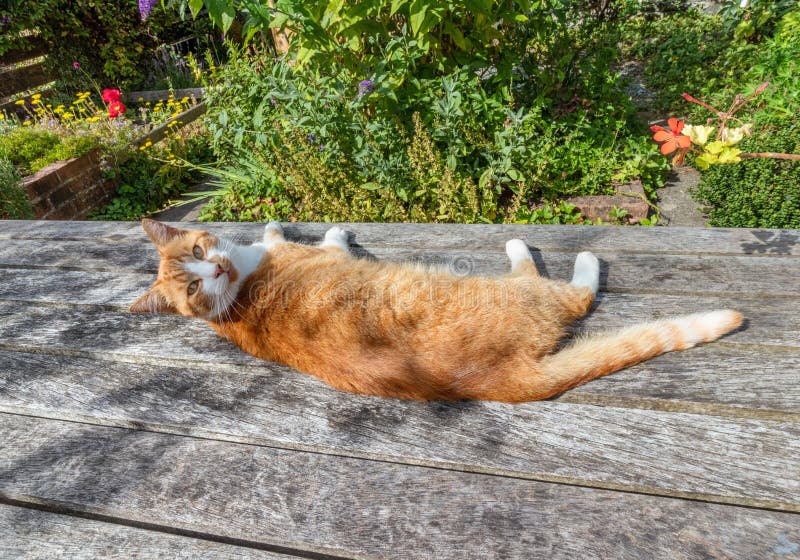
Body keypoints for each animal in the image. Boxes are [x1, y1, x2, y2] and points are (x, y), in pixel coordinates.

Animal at [131, 219, 744, 402]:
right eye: (193, 287)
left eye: (197, 252)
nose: (214, 272)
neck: (240, 288)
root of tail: (503, 381)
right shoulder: (322, 252)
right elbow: (324, 238)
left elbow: (275, 229)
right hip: (520, 293)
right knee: (573, 292)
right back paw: (558, 255)